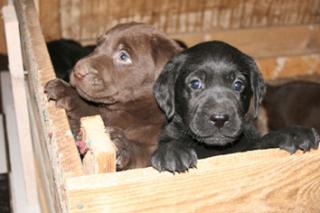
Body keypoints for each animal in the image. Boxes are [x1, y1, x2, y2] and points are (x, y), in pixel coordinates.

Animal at [151, 40, 318, 172]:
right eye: (195, 83)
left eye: (238, 85)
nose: (219, 119)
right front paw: (172, 151)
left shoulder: (251, 146)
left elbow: (263, 141)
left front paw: (294, 134)